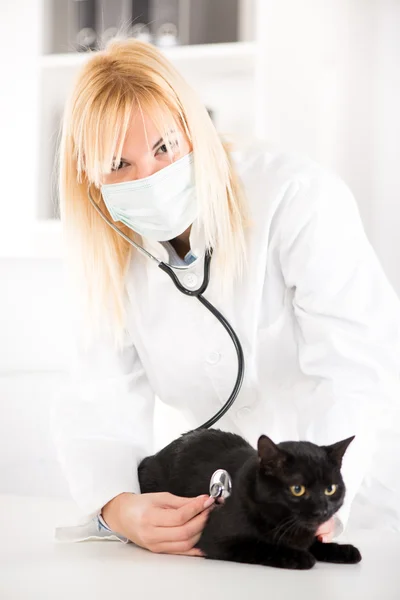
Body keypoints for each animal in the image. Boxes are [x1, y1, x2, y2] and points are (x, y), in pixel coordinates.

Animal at [138, 428, 362, 568]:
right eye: (297, 489)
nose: (323, 510)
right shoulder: (218, 541)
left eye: (330, 489)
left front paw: (342, 551)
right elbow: (260, 547)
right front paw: (297, 556)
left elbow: (313, 542)